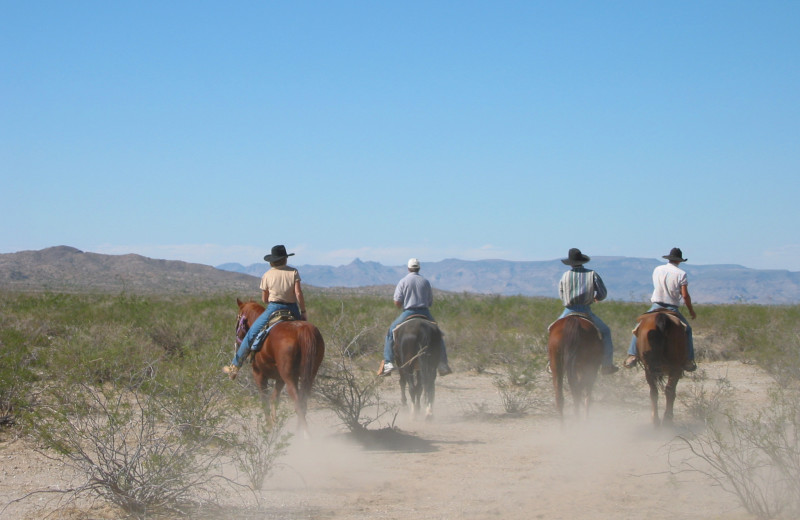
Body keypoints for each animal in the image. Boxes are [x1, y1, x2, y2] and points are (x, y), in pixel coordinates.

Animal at [234, 298, 324, 436]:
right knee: (303, 400)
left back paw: (305, 435)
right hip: (309, 374)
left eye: (238, 318)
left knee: (297, 400)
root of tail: (302, 330)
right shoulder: (279, 379)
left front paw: (269, 427)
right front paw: (274, 424)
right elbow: (274, 398)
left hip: (289, 377)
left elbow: (264, 399)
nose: (237, 338)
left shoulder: (259, 374)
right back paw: (298, 431)